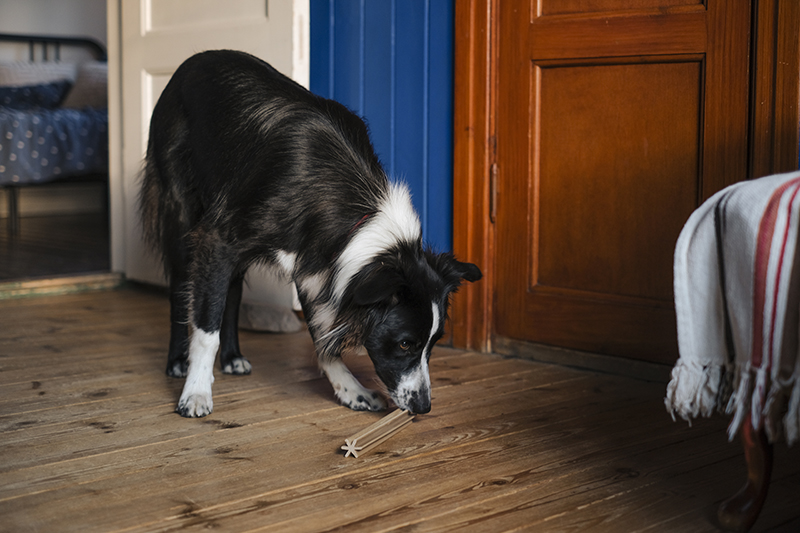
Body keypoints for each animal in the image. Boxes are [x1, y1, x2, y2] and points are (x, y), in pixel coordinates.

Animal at [139, 51, 482, 416]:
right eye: (405, 344)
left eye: (435, 342)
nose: (423, 407)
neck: (356, 210)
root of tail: (194, 59)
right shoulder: (218, 241)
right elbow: (206, 329)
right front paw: (197, 391)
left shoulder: (317, 264)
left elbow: (321, 336)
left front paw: (350, 389)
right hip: (180, 217)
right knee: (180, 291)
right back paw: (178, 363)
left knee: (231, 293)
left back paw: (232, 357)